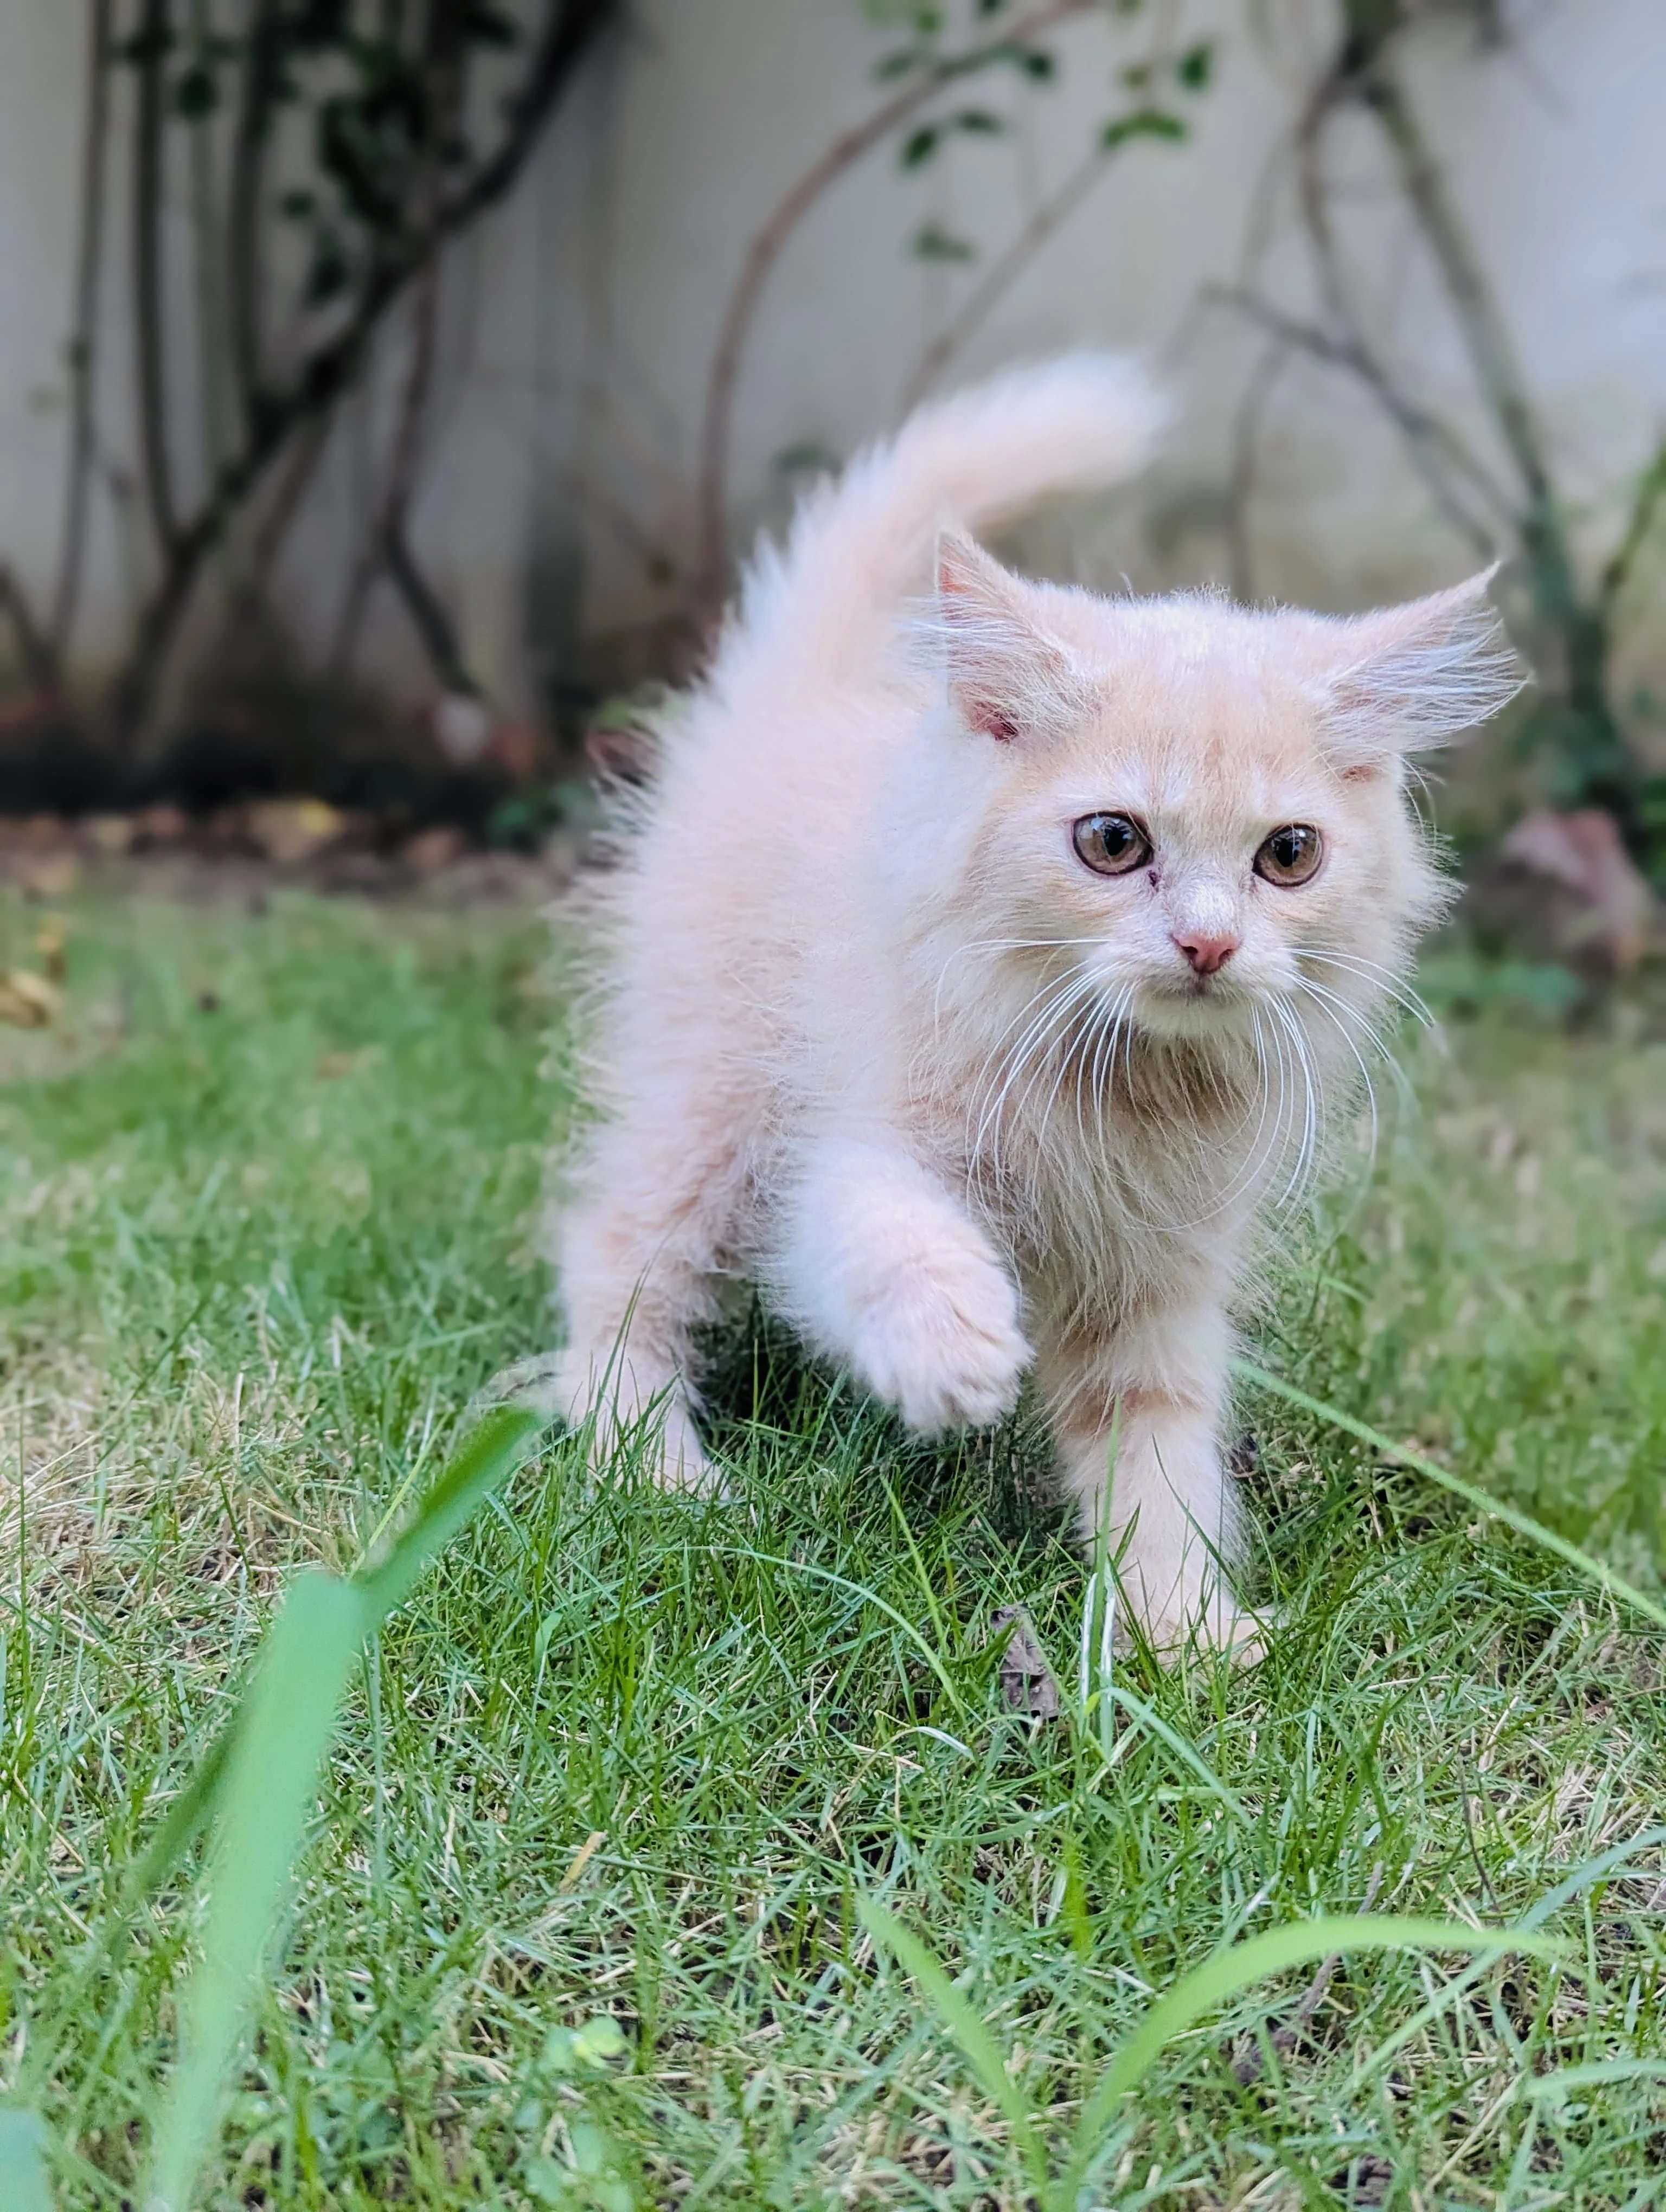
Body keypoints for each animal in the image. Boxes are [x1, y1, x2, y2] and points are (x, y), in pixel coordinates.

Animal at [548, 353, 1522, 1654]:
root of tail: (801, 696)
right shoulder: (851, 1143)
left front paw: (1186, 1632)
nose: (1208, 942)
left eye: (1289, 855)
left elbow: (1156, 1449)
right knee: (618, 1251)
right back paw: (649, 1465)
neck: (1124, 1085)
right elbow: (881, 1231)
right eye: (1113, 843)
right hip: (712, 1101)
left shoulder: (1159, 1278)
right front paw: (954, 1350)